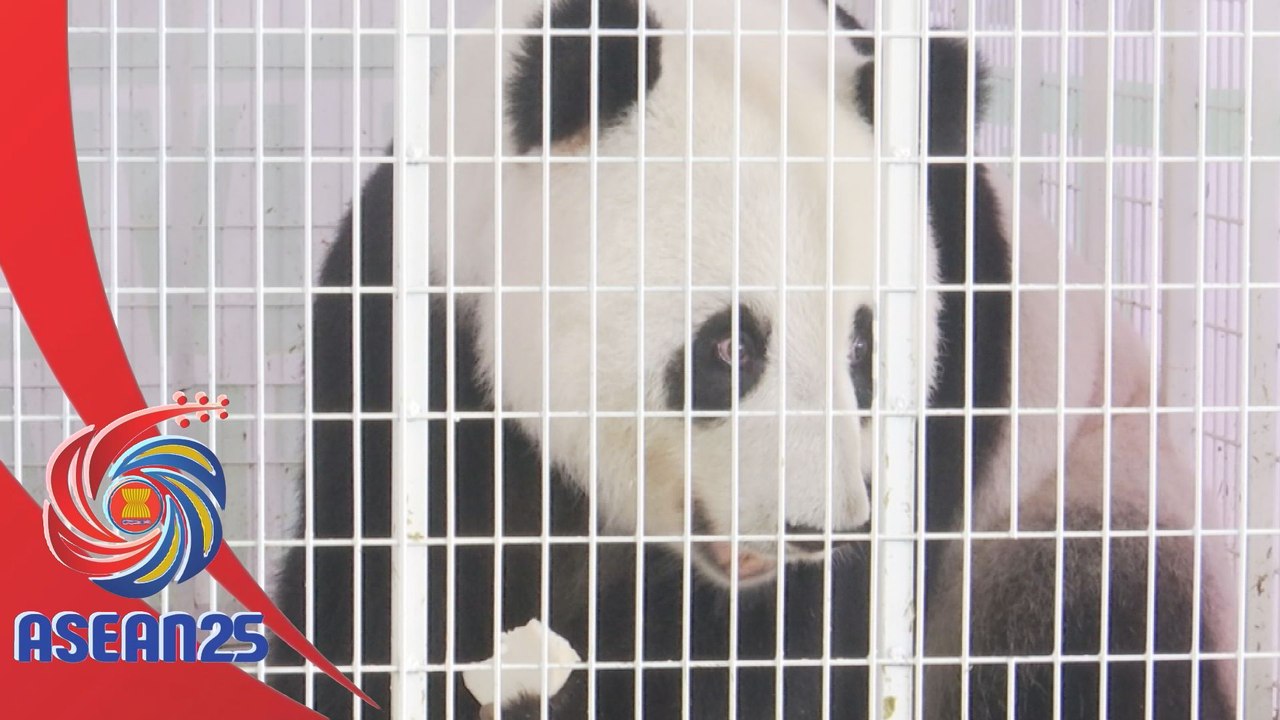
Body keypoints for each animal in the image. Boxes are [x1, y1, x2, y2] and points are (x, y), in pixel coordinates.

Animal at [269, 1, 1238, 718]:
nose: (820, 530)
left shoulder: (952, 385)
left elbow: (787, 655)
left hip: (1081, 489)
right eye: (731, 345)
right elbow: (370, 590)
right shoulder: (417, 335)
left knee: (1086, 633)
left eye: (861, 348)